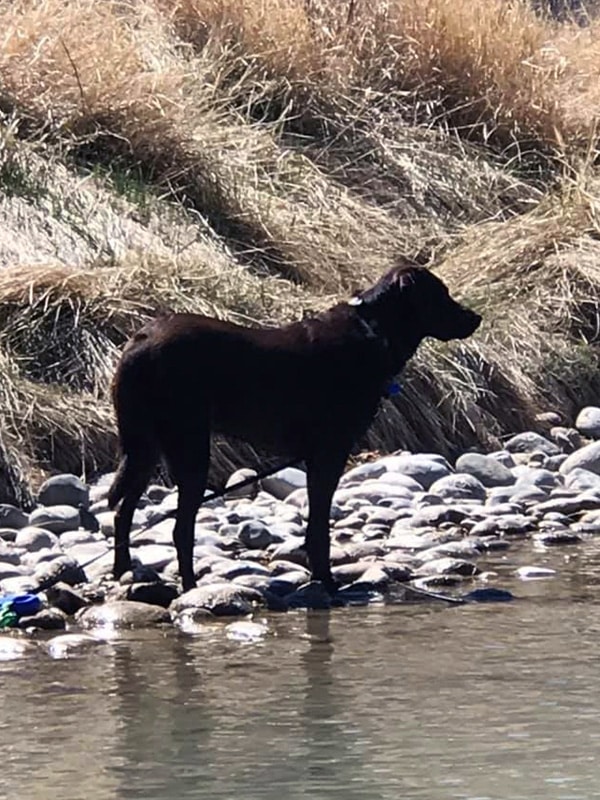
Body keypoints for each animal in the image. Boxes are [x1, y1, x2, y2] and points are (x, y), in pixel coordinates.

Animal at [109, 266, 482, 592]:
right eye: (440, 294)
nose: (475, 318)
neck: (373, 332)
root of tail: (138, 342)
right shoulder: (331, 452)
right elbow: (319, 527)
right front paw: (327, 582)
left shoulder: (318, 455)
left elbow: (315, 525)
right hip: (189, 448)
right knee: (180, 528)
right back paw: (189, 586)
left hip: (145, 449)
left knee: (123, 512)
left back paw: (123, 572)